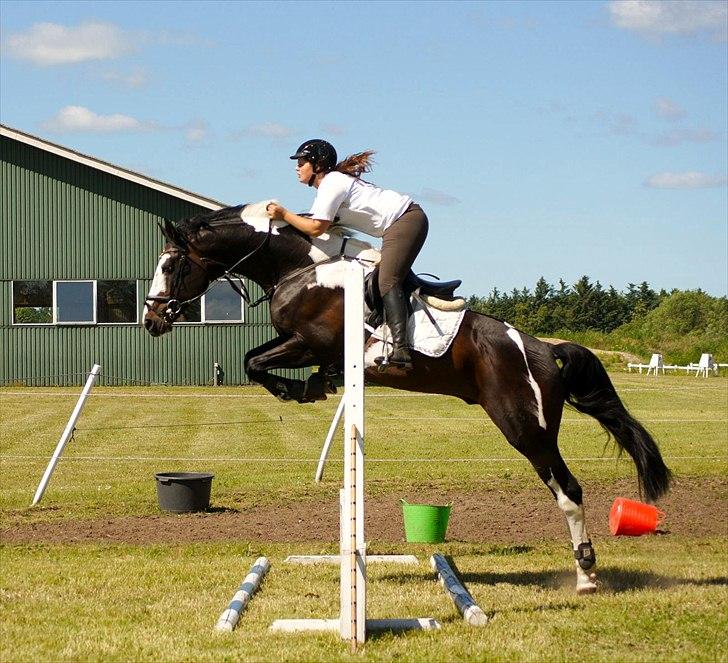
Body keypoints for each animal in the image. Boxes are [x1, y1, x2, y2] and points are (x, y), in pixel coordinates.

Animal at [144, 201, 672, 592]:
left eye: (172, 264)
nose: (151, 320)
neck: (301, 269)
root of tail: (543, 348)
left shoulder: (311, 341)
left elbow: (254, 362)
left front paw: (300, 389)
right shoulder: (302, 344)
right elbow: (252, 358)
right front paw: (312, 385)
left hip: (527, 429)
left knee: (569, 490)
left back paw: (585, 574)